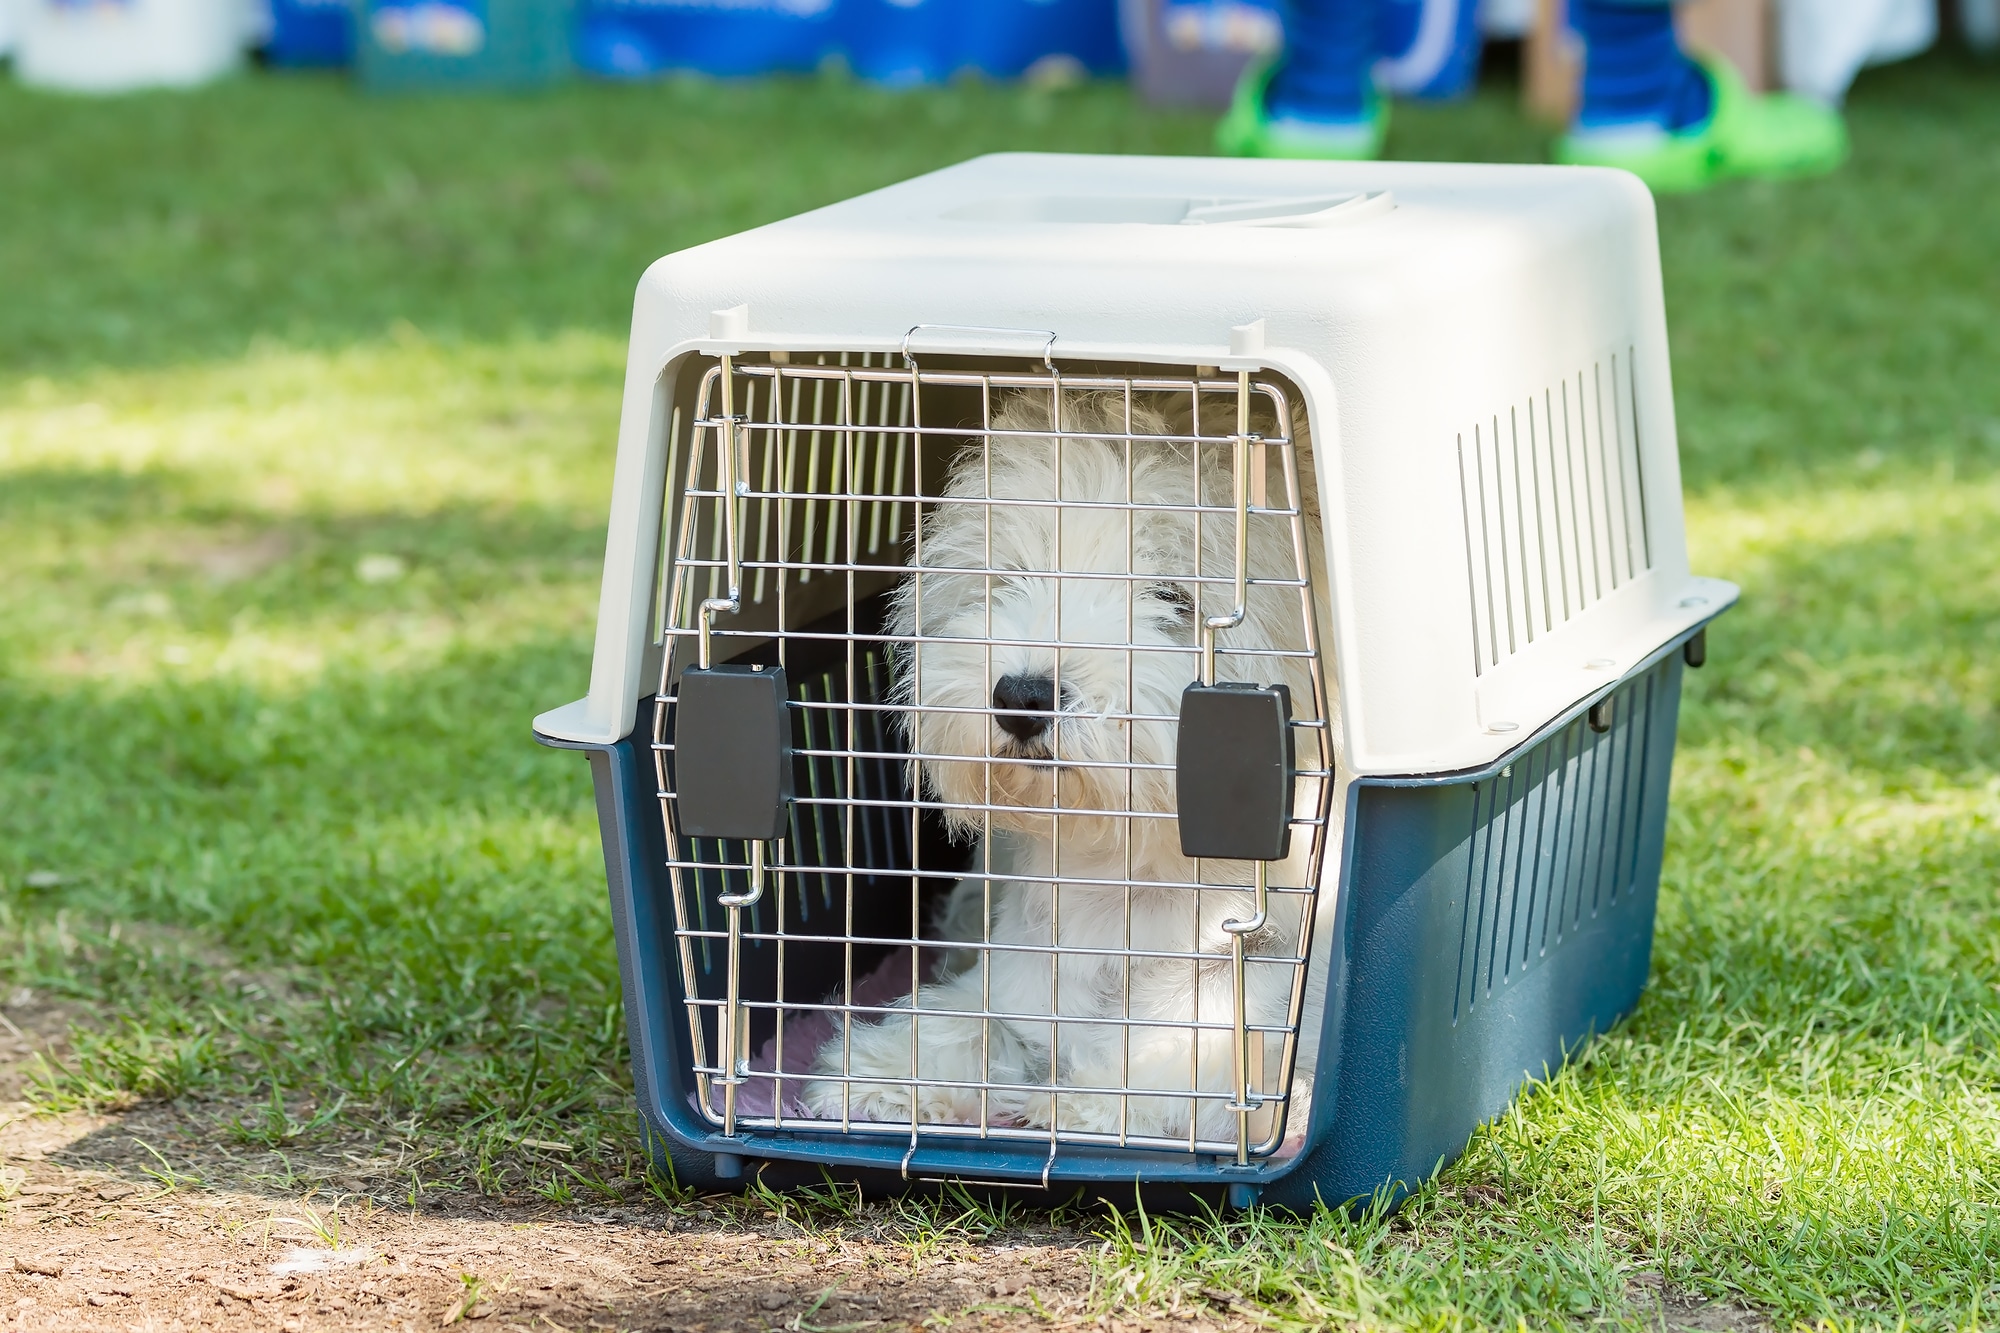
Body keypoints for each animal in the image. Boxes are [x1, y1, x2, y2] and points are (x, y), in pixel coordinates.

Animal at [796, 382, 1328, 1144]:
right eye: (1010, 576)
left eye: (1174, 598)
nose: (1021, 695)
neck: (1127, 875)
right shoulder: (1018, 981)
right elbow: (966, 1023)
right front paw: (872, 1075)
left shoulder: (1259, 1005)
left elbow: (1189, 1050)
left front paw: (1084, 1103)